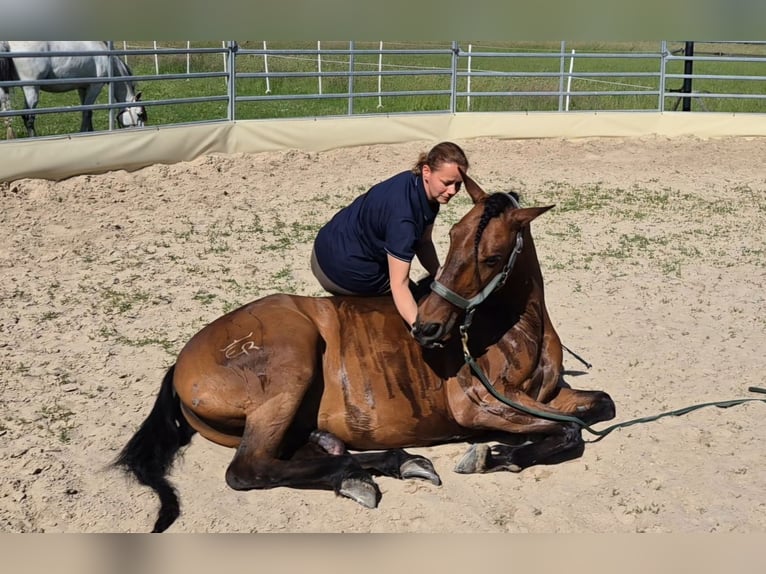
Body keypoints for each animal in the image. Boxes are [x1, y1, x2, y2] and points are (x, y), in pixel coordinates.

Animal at [0, 41, 146, 138]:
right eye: (139, 114)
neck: (107, 58)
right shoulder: (95, 87)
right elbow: (87, 112)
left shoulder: (83, 88)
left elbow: (87, 112)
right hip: (31, 89)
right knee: (28, 117)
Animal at [113, 170, 616, 533]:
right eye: (452, 235)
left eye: (492, 258)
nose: (427, 327)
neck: (513, 328)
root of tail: (180, 361)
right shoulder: (479, 406)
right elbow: (570, 433)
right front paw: (495, 455)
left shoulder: (547, 398)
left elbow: (599, 408)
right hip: (293, 363)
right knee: (249, 469)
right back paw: (370, 470)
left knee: (290, 454)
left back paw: (377, 461)